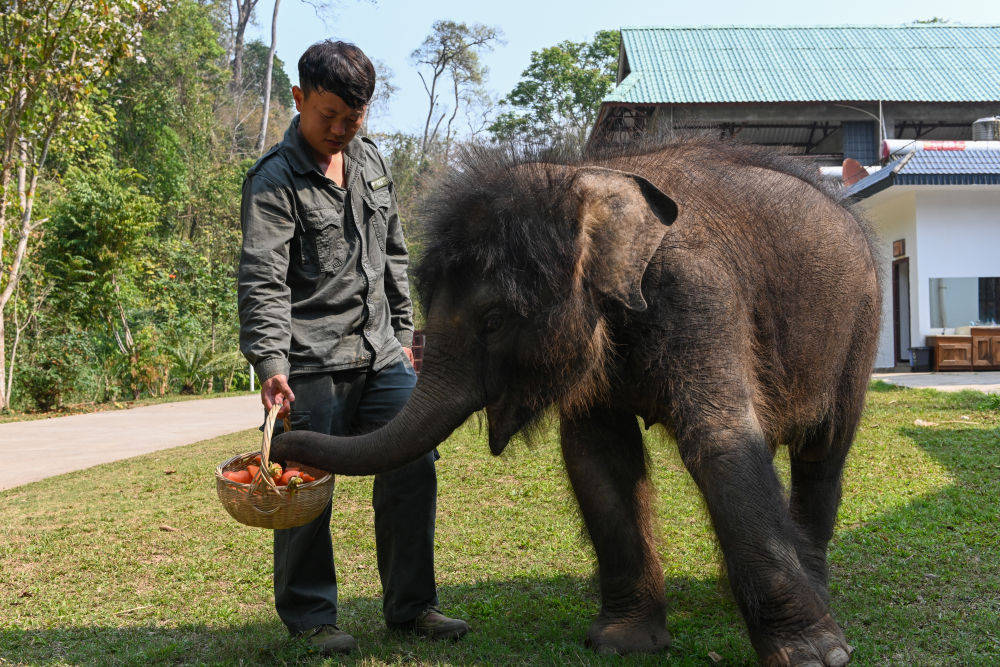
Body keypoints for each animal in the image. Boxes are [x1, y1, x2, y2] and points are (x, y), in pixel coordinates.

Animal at [270, 138, 880, 664]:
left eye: (495, 320)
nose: (279, 432)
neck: (582, 181)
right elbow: (597, 452)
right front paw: (623, 643)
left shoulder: (700, 292)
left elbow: (722, 438)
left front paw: (818, 656)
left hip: (862, 321)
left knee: (823, 453)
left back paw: (812, 583)